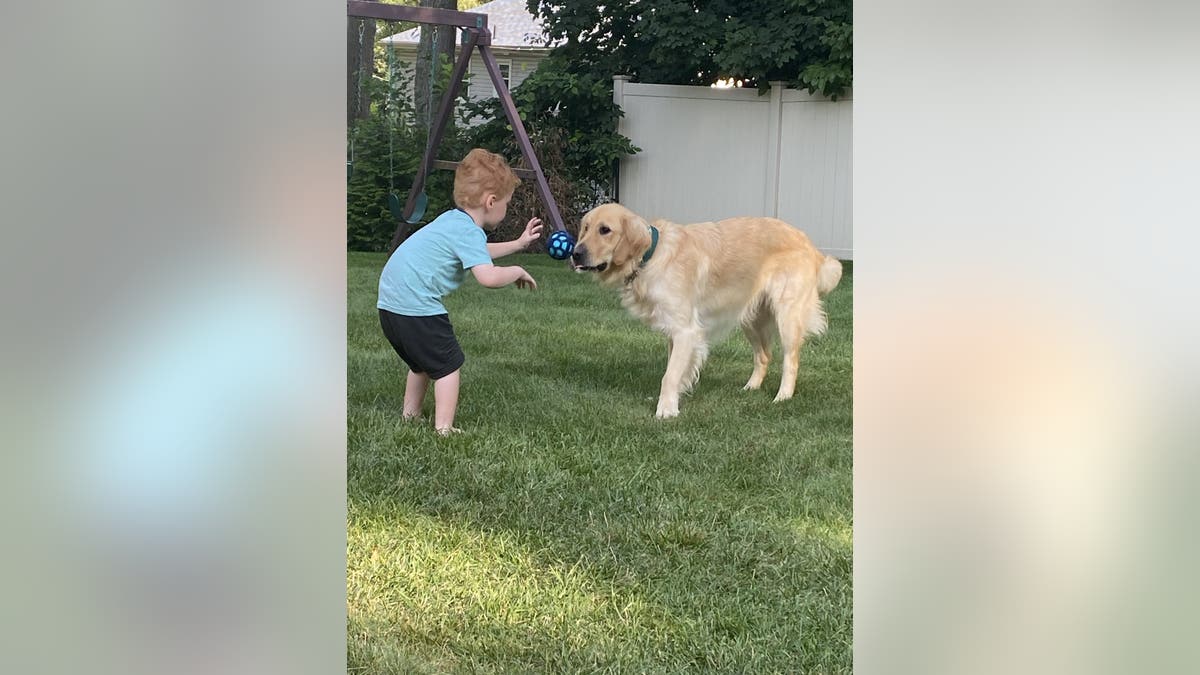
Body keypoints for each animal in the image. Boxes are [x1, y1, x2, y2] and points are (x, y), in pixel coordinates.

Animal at [573, 201, 844, 417]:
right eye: (585, 228)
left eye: (605, 230)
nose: (575, 253)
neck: (650, 257)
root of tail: (811, 245)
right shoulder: (674, 332)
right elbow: (675, 369)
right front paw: (675, 397)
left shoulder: (685, 331)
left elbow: (669, 375)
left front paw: (666, 410)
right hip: (750, 317)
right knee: (764, 355)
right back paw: (750, 388)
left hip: (787, 315)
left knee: (791, 360)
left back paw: (783, 397)